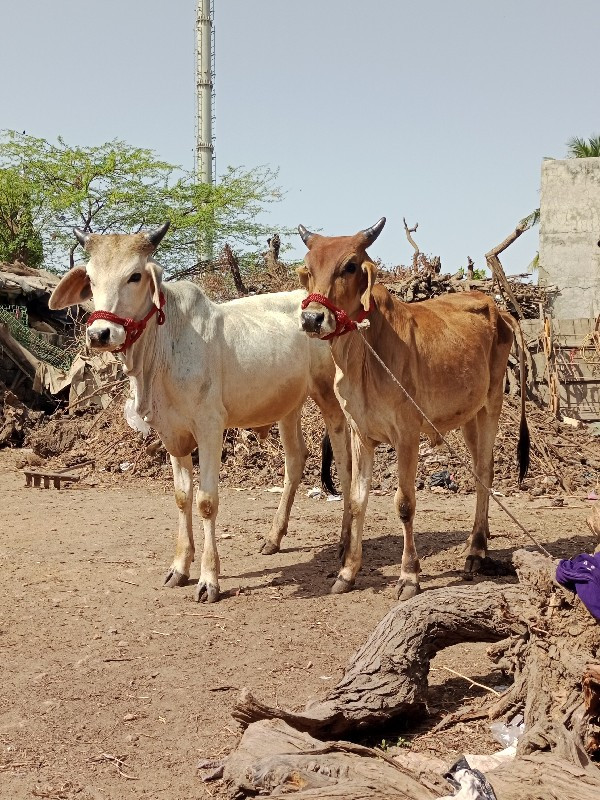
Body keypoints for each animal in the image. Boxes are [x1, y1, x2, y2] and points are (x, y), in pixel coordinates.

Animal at [51, 223, 354, 600]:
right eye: (91, 279)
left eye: (135, 275)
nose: (100, 333)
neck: (165, 347)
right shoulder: (171, 433)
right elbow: (183, 497)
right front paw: (179, 568)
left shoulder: (210, 428)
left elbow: (206, 501)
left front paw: (209, 579)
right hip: (288, 405)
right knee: (296, 460)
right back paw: (273, 538)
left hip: (330, 398)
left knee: (344, 462)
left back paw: (344, 542)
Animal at [298, 219, 528, 600]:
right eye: (310, 267)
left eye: (349, 266)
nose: (313, 319)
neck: (364, 353)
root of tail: (496, 308)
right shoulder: (361, 434)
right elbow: (357, 500)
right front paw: (347, 572)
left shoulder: (406, 434)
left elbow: (405, 504)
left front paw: (409, 576)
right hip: (468, 415)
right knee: (481, 468)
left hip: (491, 403)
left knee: (485, 469)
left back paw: (476, 550)